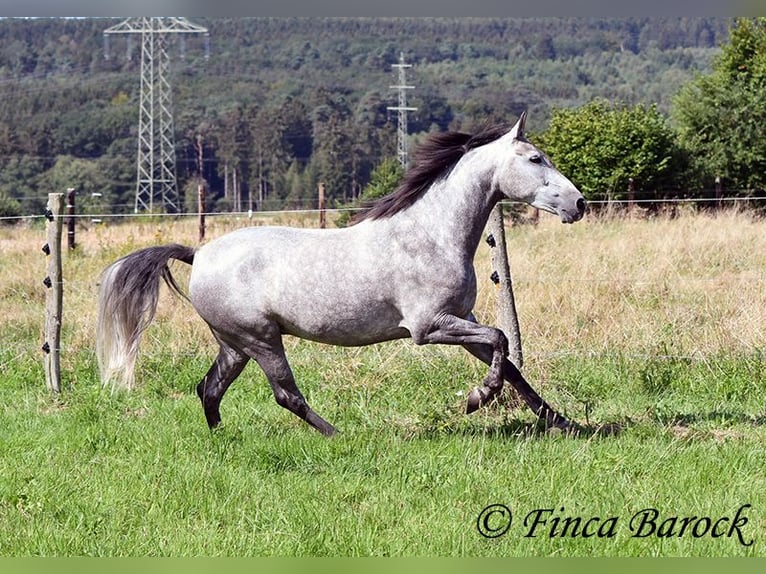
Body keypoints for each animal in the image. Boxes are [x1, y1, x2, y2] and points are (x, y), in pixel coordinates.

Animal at [96, 112, 588, 436]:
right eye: (535, 159)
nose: (579, 203)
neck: (431, 233)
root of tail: (198, 253)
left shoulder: (460, 321)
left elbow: (511, 366)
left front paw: (565, 423)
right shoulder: (429, 327)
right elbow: (501, 340)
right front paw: (476, 399)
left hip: (235, 343)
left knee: (209, 389)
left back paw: (222, 441)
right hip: (261, 339)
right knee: (285, 395)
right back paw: (339, 436)